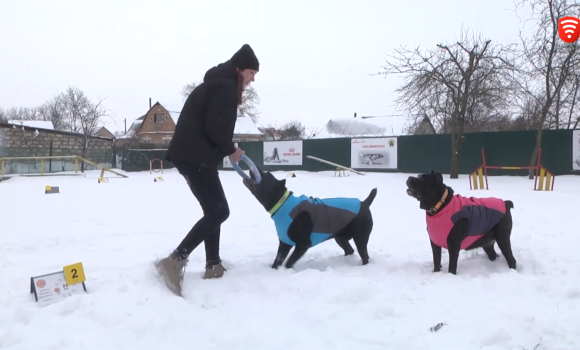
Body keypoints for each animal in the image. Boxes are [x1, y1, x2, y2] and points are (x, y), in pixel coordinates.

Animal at [242, 168, 378, 270]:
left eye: (266, 175)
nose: (253, 169)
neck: (282, 203)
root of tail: (364, 203)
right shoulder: (285, 243)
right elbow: (278, 261)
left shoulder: (302, 244)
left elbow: (288, 262)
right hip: (340, 237)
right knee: (350, 250)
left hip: (360, 237)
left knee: (364, 256)